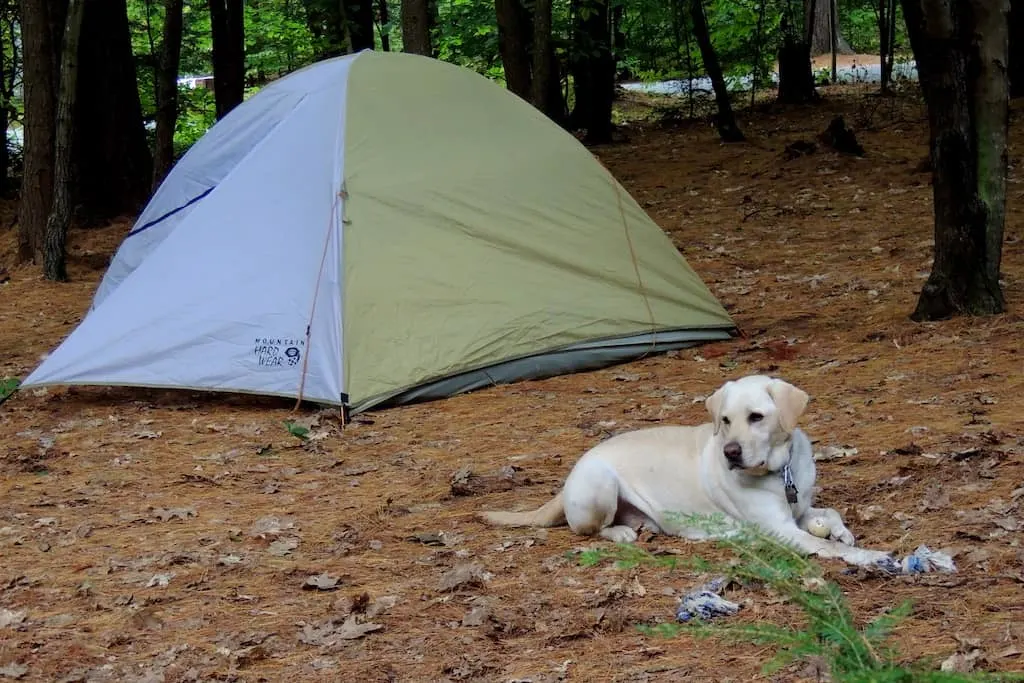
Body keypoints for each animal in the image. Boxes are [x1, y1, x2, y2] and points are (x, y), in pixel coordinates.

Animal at [479, 376, 897, 569]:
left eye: (756, 417)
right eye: (725, 420)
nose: (731, 452)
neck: (780, 471)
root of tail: (572, 472)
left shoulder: (800, 509)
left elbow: (829, 515)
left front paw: (843, 531)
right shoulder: (781, 531)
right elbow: (829, 547)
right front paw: (874, 556)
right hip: (600, 484)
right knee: (589, 530)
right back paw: (622, 532)